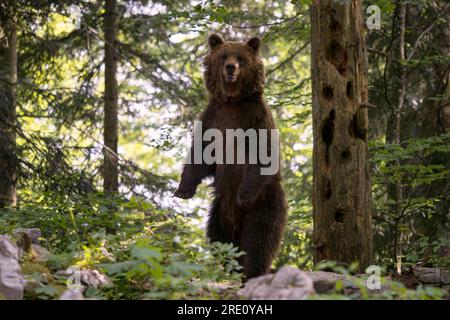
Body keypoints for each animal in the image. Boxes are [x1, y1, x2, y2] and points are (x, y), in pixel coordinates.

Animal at [174, 33, 286, 280]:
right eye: (224, 55)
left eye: (240, 57)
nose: (230, 67)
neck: (233, 101)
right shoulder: (213, 118)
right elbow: (200, 154)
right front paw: (183, 190)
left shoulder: (255, 118)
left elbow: (263, 155)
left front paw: (243, 194)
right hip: (218, 211)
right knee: (219, 239)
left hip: (265, 204)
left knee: (258, 243)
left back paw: (252, 274)